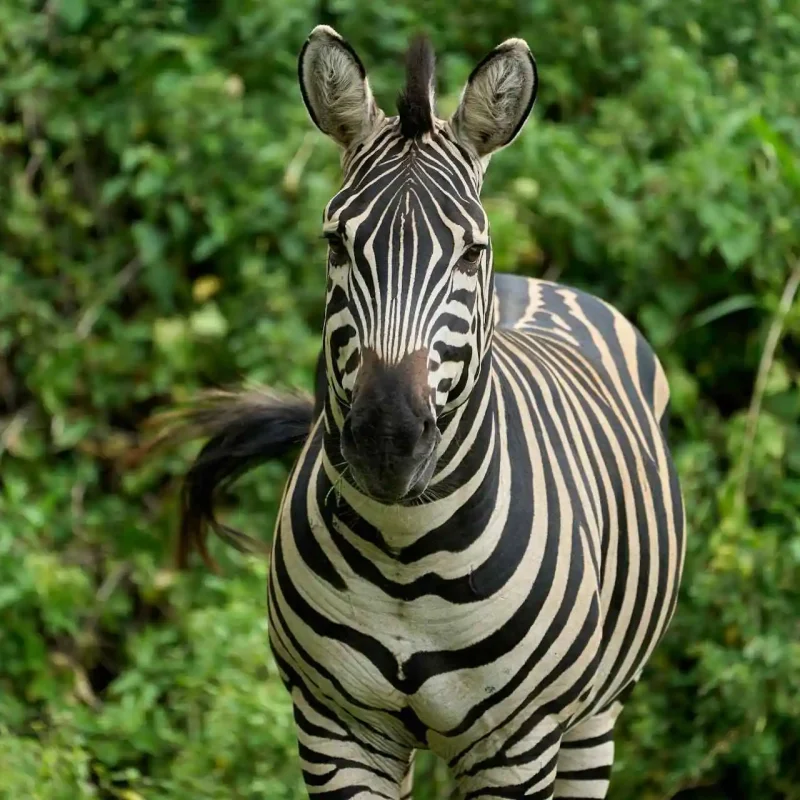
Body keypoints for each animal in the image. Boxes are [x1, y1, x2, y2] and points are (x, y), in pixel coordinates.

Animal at [172, 26, 686, 799]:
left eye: (471, 251)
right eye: (336, 244)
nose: (388, 440)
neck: (405, 555)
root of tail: (538, 283)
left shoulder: (517, 748)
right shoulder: (336, 731)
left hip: (594, 717)